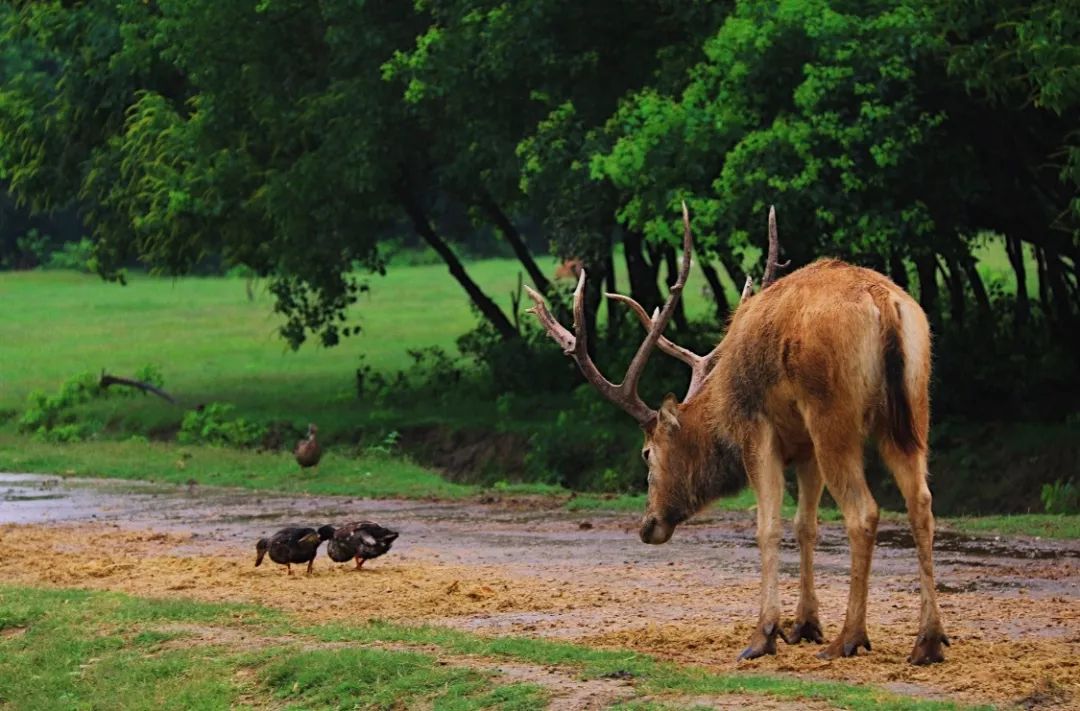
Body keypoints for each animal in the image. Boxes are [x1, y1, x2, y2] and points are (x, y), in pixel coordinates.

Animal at [527, 203, 950, 665]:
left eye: (646, 453)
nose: (648, 525)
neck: (720, 404)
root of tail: (883, 303)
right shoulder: (803, 445)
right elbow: (805, 524)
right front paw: (804, 625)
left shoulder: (757, 429)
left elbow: (768, 526)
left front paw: (764, 634)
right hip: (913, 406)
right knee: (921, 502)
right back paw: (928, 640)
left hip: (832, 412)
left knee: (864, 512)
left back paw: (850, 638)